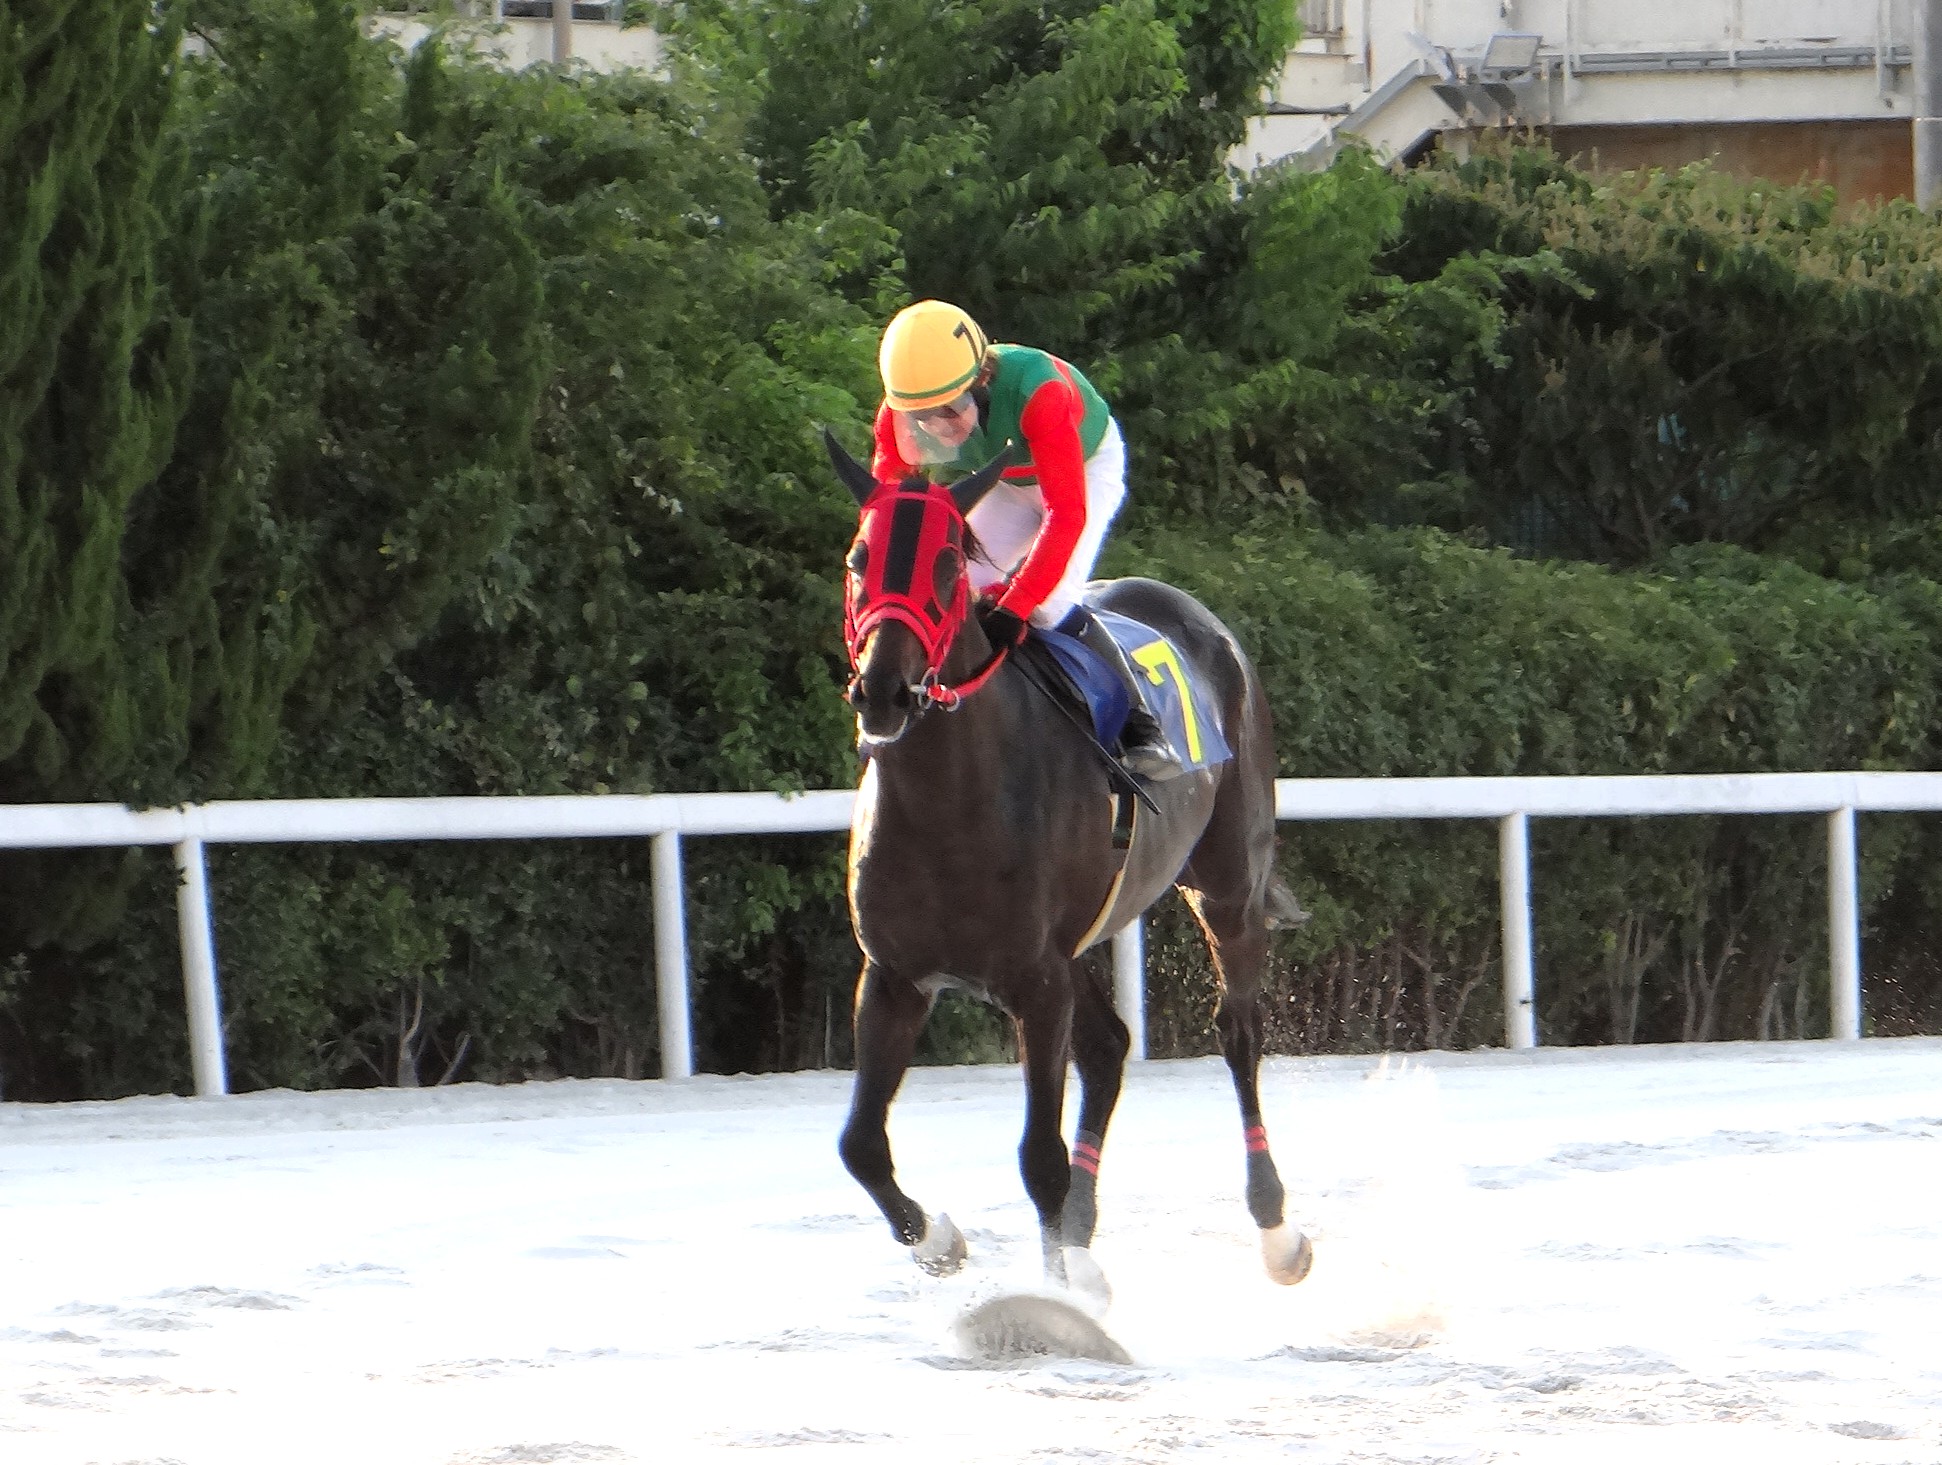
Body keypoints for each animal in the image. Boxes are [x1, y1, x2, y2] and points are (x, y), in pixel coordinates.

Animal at [824, 430, 1313, 1303]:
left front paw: (1059, 1291)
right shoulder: (895, 975)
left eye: (947, 562)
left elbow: (1040, 1158)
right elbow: (860, 1144)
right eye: (858, 556)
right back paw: (1082, 1240)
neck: (950, 797)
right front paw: (940, 1240)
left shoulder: (1036, 981)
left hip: (1225, 885)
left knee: (1238, 1031)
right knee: (1111, 1046)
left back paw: (1276, 1228)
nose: (884, 689)